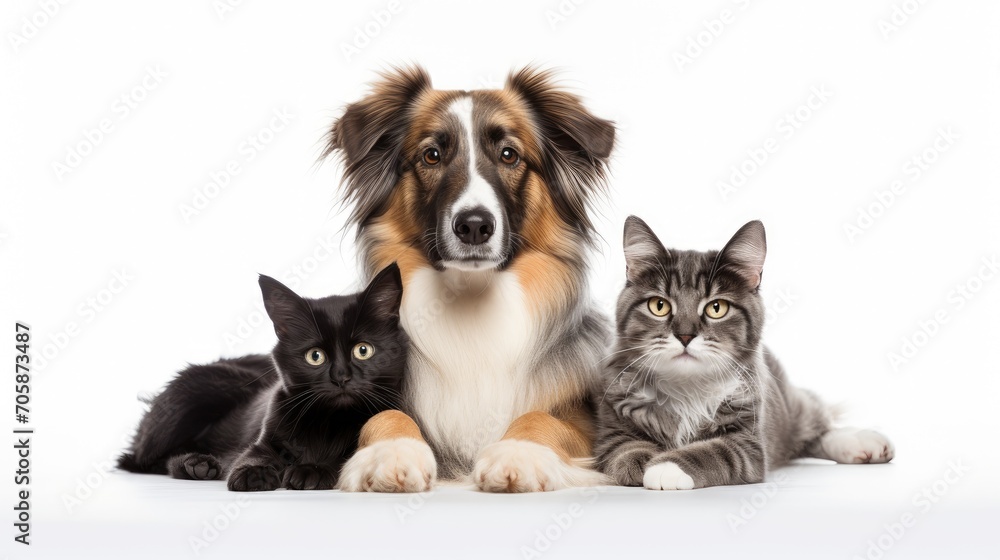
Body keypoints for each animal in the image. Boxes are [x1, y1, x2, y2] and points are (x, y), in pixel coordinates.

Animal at [119, 262, 408, 490]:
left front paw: (311, 469)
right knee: (142, 459)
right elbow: (252, 456)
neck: (329, 423)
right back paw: (199, 464)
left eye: (363, 350)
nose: (341, 377)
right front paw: (253, 473)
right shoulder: (264, 439)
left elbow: (345, 458)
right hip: (200, 390)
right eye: (315, 356)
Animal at [324, 68, 612, 492]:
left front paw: (518, 453)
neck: (471, 300)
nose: (474, 225)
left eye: (509, 154)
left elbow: (542, 418)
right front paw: (392, 453)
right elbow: (384, 416)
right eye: (431, 155)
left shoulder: (582, 419)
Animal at [592, 217, 892, 488]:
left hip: (794, 409)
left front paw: (666, 467)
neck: (686, 389)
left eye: (716, 308)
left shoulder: (749, 443)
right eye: (659, 305)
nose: (685, 336)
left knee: (818, 426)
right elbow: (625, 448)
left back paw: (862, 442)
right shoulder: (611, 428)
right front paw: (644, 461)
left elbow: (713, 451)